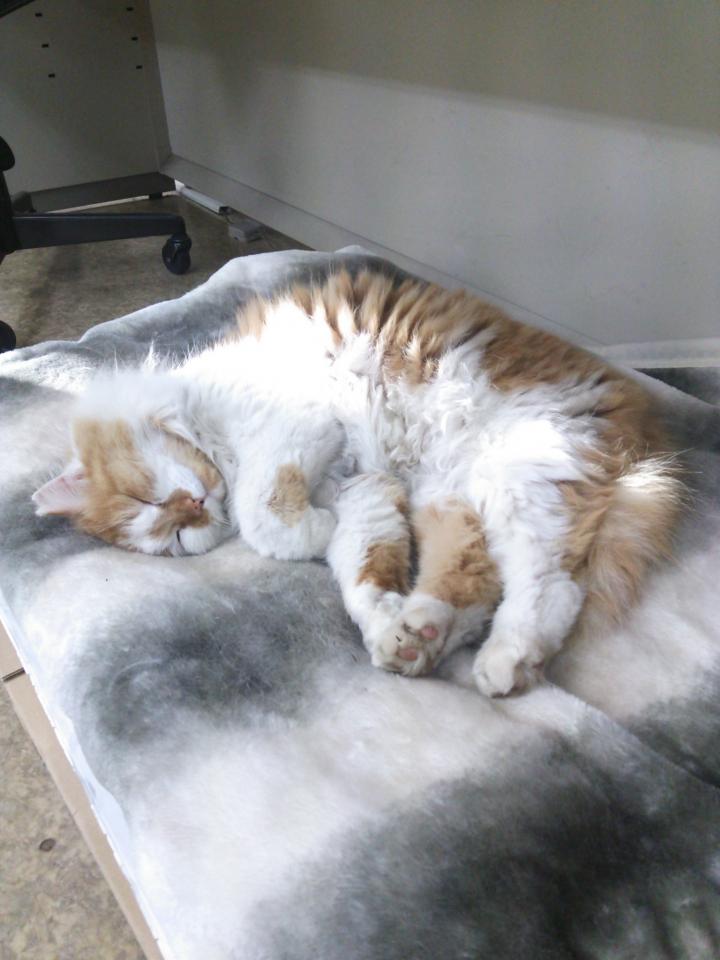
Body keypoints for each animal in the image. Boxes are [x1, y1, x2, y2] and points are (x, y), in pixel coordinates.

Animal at [32, 268, 682, 696]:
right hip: (448, 498)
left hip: (518, 477)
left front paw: (306, 529)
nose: (192, 507)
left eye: (146, 497)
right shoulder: (365, 491)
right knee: (473, 585)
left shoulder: (301, 423)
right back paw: (421, 633)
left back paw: (506, 661)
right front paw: (385, 624)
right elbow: (363, 572)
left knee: (549, 587)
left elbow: (262, 513)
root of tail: (640, 423)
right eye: (172, 539)